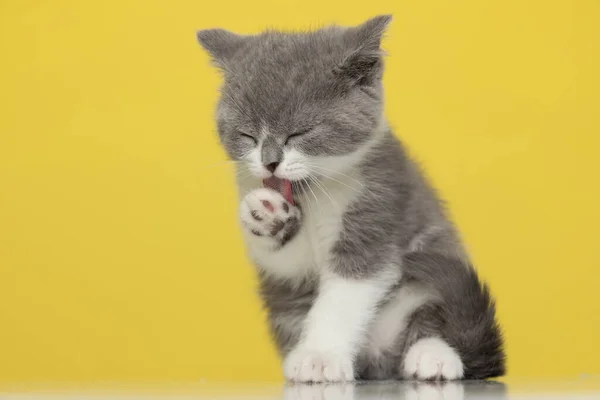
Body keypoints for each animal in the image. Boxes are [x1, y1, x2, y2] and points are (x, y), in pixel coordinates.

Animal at [198, 15, 506, 382]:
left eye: (299, 133)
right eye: (247, 135)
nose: (269, 162)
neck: (314, 189)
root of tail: (377, 360)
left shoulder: (377, 208)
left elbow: (345, 293)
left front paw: (319, 356)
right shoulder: (290, 264)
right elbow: (288, 263)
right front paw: (267, 214)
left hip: (438, 265)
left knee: (436, 318)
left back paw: (433, 355)